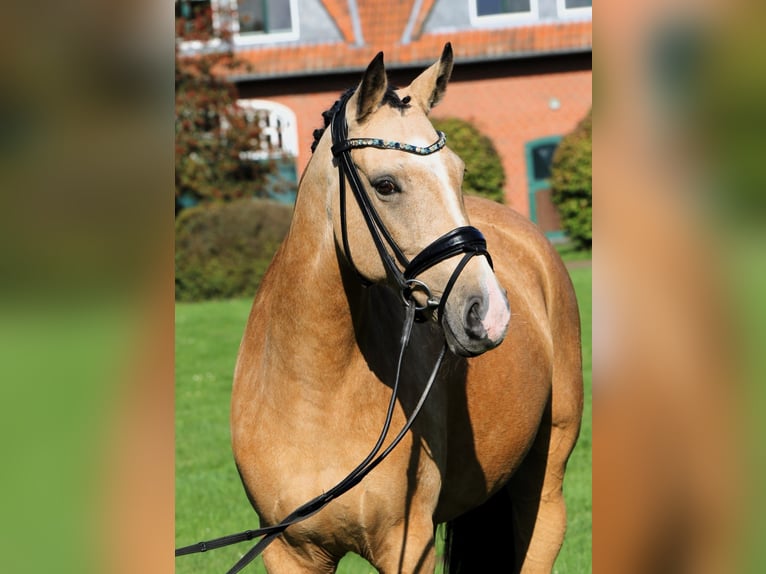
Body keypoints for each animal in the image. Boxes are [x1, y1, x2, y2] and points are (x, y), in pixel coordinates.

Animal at [231, 42, 584, 572]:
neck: (312, 393)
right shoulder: (290, 553)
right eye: (386, 185)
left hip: (545, 489)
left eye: (459, 172)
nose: (488, 312)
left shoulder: (408, 544)